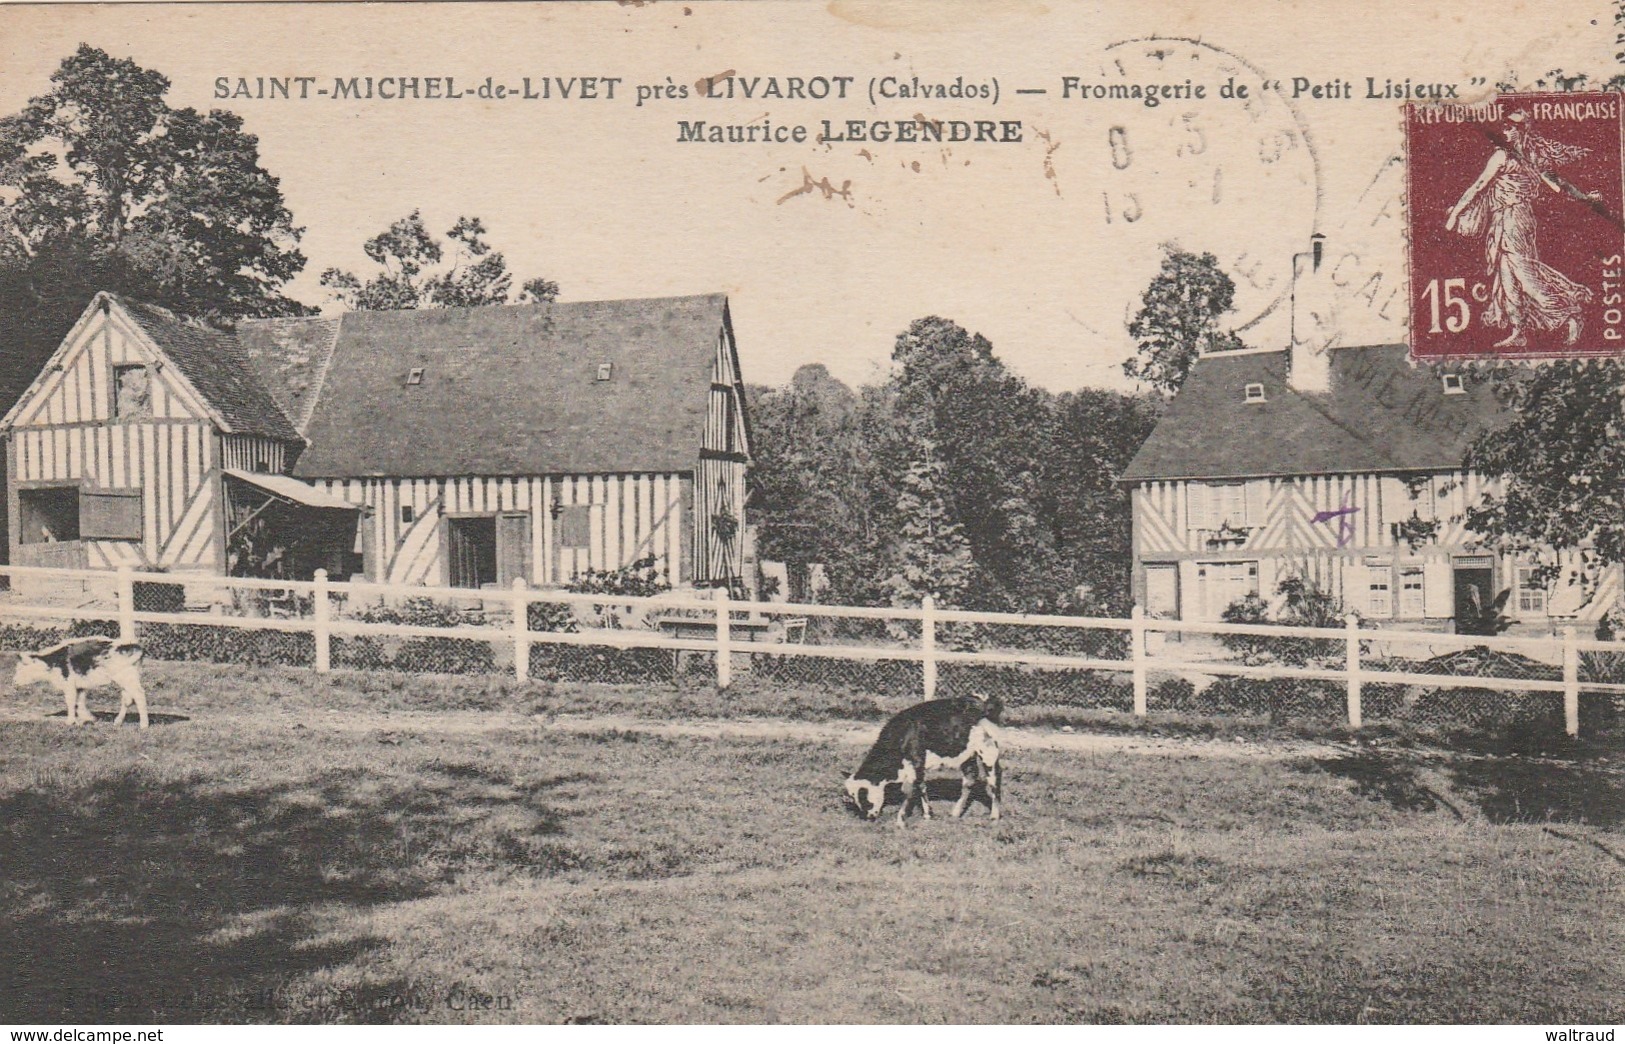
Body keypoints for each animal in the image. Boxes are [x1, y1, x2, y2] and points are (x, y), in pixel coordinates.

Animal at [12, 630, 149, 728]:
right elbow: (80, 702)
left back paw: (143, 725)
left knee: (139, 696)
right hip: (127, 679)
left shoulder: (68, 683)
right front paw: (88, 718)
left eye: (21, 668)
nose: (14, 681)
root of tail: (133, 646)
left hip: (126, 678)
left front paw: (70, 722)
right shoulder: (80, 685)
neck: (54, 661)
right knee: (127, 699)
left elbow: (71, 701)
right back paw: (118, 722)